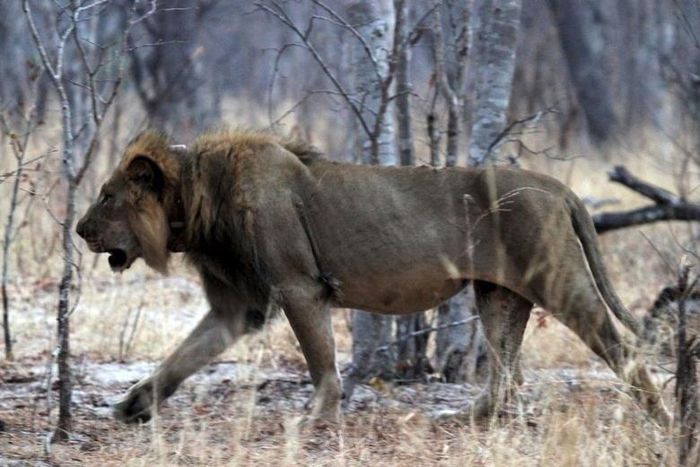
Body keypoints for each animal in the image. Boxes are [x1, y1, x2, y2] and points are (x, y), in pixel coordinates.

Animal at [76, 130, 671, 426]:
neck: (198, 196)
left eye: (106, 197)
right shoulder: (236, 306)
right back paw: (465, 417)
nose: (80, 231)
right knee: (505, 370)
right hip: (498, 294)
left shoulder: (299, 285)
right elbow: (182, 357)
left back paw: (664, 419)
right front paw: (134, 405)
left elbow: (320, 361)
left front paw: (316, 419)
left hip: (557, 281)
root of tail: (559, 187)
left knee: (620, 348)